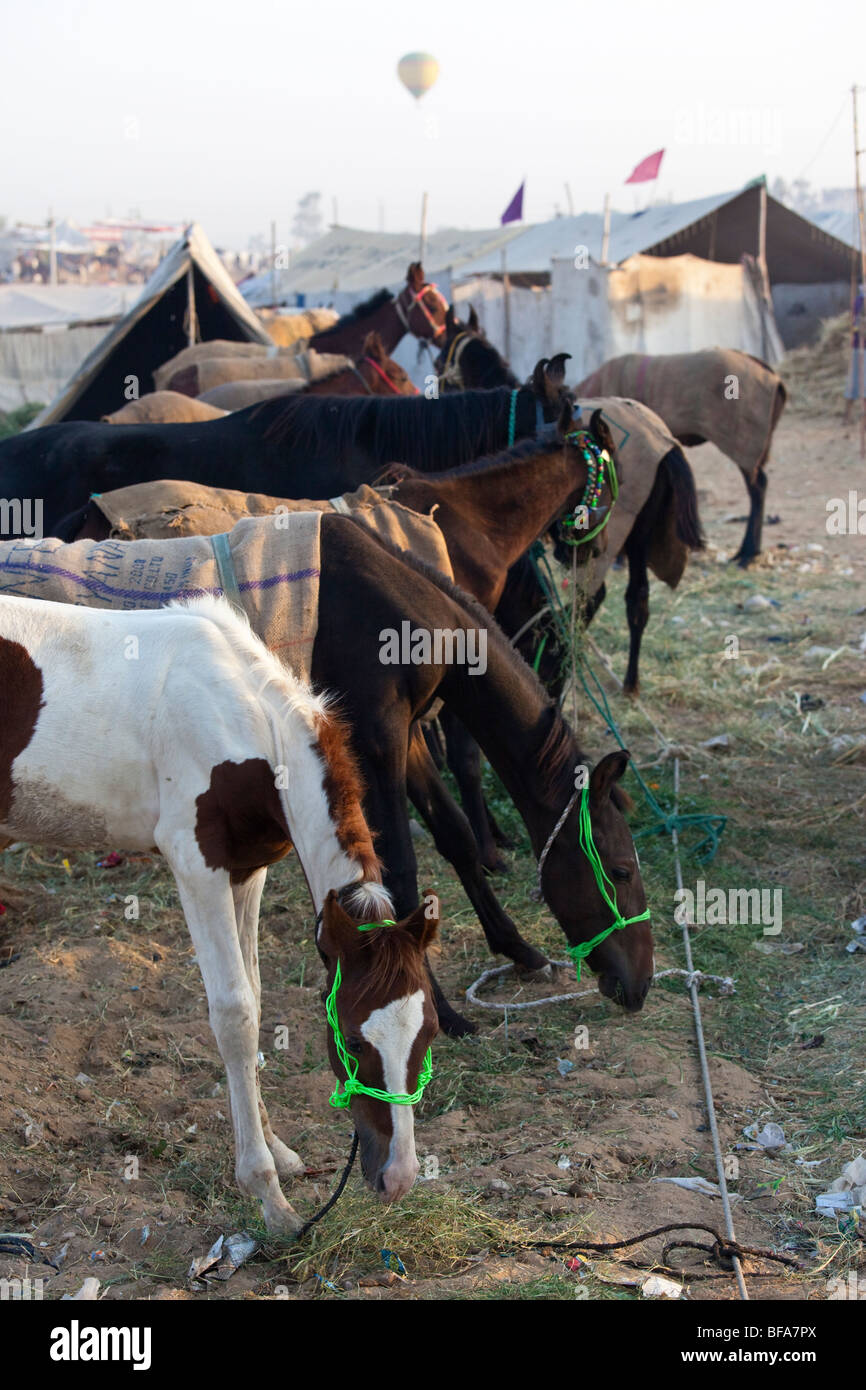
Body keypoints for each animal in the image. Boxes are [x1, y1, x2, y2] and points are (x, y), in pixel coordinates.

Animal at [0, 592, 436, 1234]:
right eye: (355, 1043)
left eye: (428, 1033)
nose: (398, 1178)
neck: (248, 721)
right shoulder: (196, 863)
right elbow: (235, 1014)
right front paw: (268, 1195)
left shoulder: (245, 870)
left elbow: (254, 993)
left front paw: (278, 1148)